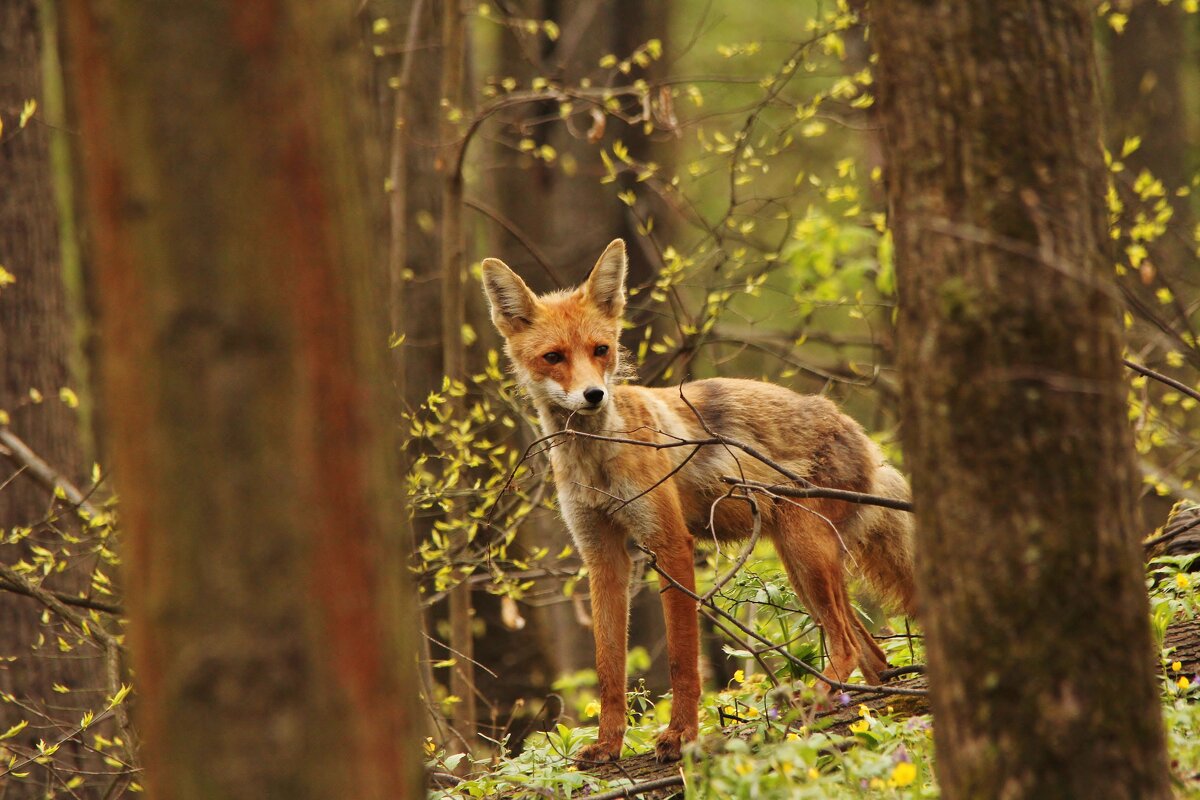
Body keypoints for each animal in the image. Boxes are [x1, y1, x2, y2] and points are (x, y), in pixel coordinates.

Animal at [482, 239, 912, 762]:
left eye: (601, 350)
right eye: (553, 357)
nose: (594, 394)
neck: (596, 461)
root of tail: (863, 438)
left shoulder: (670, 544)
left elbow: (682, 661)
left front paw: (681, 735)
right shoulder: (602, 555)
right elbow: (609, 668)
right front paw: (608, 744)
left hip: (806, 552)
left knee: (847, 645)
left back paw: (806, 703)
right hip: (802, 564)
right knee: (874, 657)